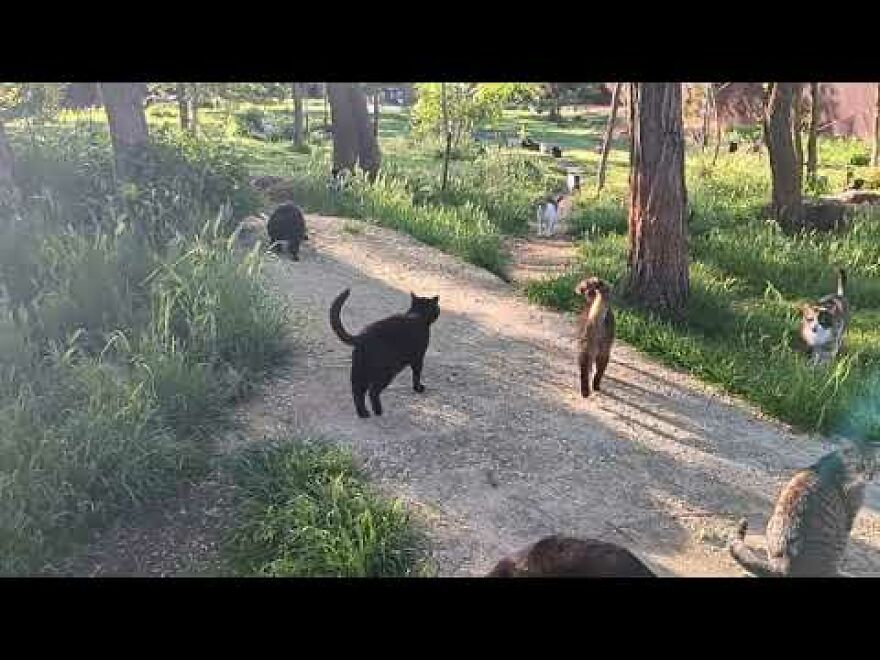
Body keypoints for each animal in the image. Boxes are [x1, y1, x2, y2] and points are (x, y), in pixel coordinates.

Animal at [330, 288, 440, 418]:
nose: (438, 310)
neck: (417, 315)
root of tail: (362, 337)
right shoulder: (418, 358)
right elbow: (416, 375)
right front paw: (418, 388)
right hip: (386, 373)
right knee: (372, 392)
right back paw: (378, 411)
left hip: (359, 372)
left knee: (358, 392)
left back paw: (363, 413)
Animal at [728, 438, 872, 576]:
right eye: (859, 465)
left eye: (873, 465)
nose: (868, 476)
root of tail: (783, 565)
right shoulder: (850, 515)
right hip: (837, 539)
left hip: (771, 522)